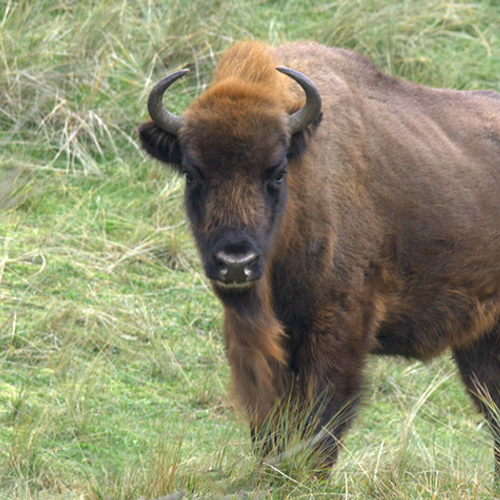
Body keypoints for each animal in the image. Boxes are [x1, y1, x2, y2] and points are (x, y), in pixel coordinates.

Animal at [139, 40, 500, 472]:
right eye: (193, 174)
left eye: (276, 172)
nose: (235, 263)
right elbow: (270, 423)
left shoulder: (339, 327)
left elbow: (323, 419)